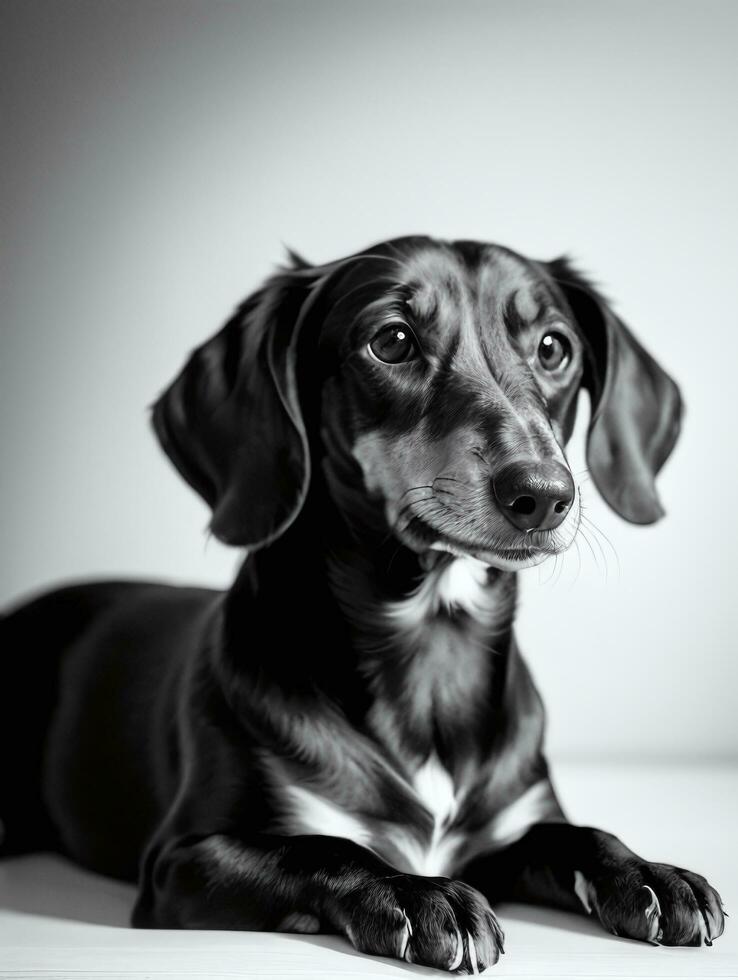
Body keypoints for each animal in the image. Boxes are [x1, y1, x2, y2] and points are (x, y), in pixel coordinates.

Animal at [1, 237, 724, 972]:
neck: (432, 655)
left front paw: (647, 873)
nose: (542, 494)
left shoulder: (506, 832)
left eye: (554, 347)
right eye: (393, 340)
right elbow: (325, 847)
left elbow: (575, 834)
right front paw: (418, 893)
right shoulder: (184, 859)